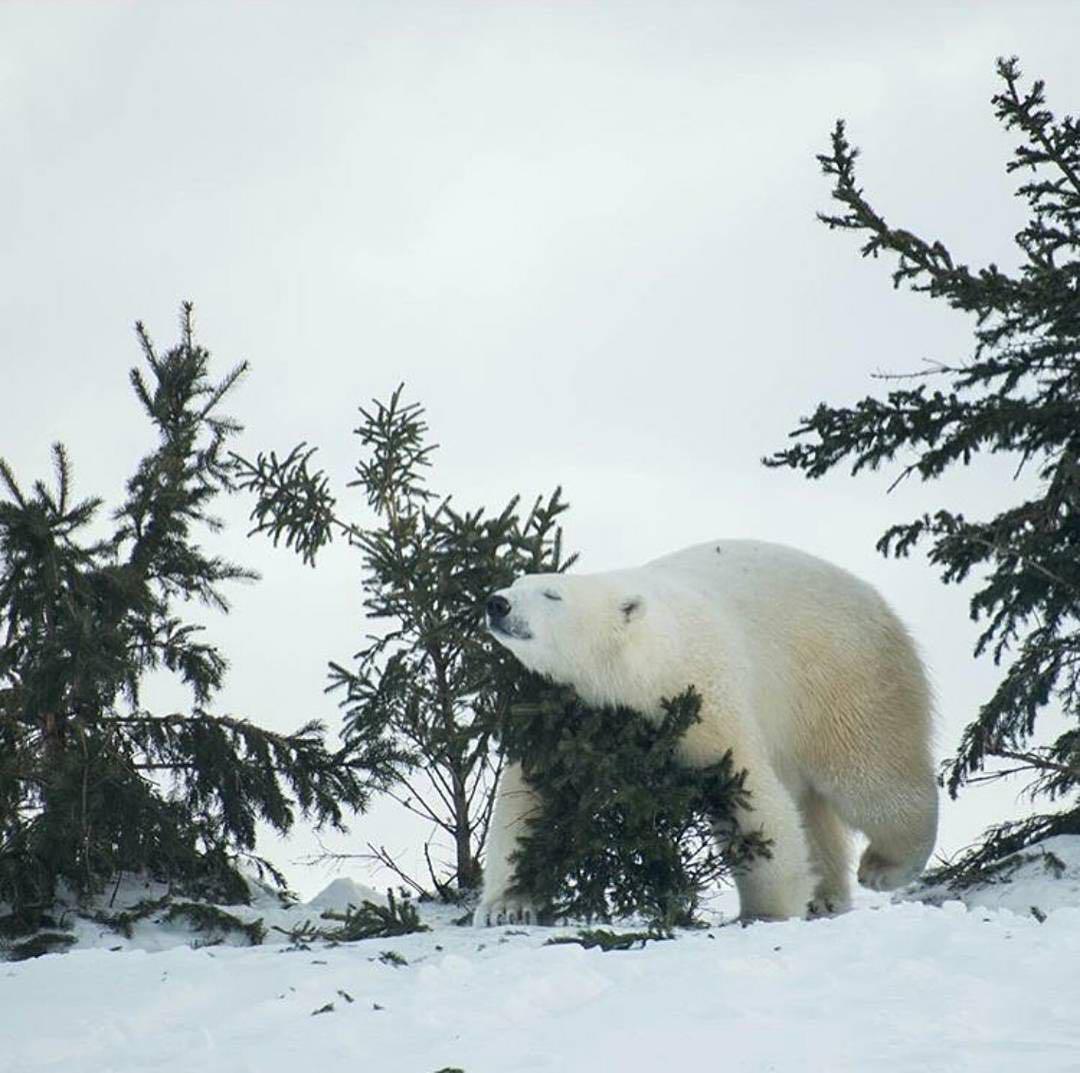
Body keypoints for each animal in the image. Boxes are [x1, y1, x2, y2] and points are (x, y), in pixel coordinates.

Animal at [475, 539, 937, 924]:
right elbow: (528, 802)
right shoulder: (561, 718)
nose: (497, 603)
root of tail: (874, 597)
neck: (648, 667)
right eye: (518, 582)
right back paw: (826, 895)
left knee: (870, 773)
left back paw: (886, 866)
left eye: (552, 594)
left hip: (843, 677)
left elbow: (747, 797)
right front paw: (508, 906)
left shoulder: (706, 702)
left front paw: (765, 911)